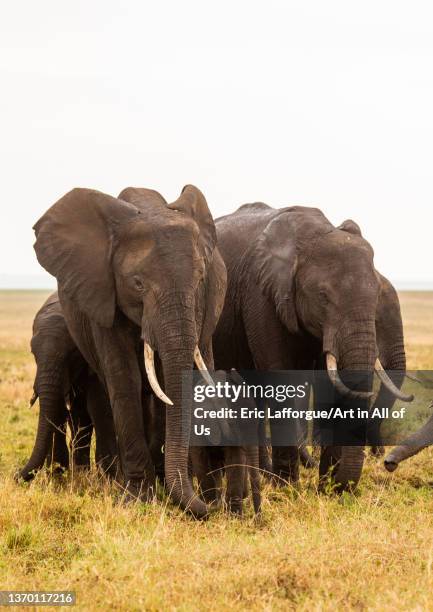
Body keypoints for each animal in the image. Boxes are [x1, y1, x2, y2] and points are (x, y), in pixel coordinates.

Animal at [19, 292, 117, 482]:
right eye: (33, 353)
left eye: (72, 353)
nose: (16, 476)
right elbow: (59, 409)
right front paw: (57, 475)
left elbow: (99, 406)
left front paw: (109, 479)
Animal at [31, 183, 226, 516]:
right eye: (137, 284)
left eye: (201, 278)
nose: (210, 509)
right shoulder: (101, 294)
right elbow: (125, 379)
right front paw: (137, 498)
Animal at [213, 203, 412, 490]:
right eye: (323, 297)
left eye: (375, 299)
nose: (387, 463)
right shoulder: (262, 294)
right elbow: (281, 378)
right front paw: (288, 488)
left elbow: (327, 383)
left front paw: (326, 486)